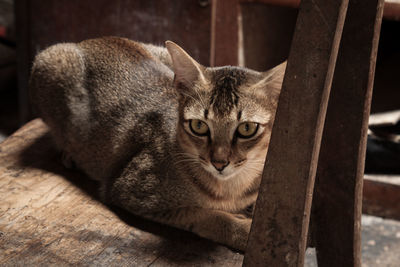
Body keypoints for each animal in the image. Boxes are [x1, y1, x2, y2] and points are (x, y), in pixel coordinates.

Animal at [29, 36, 286, 252]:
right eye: (199, 126)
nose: (219, 162)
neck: (230, 189)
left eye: (246, 128)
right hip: (52, 61)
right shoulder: (130, 192)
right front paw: (246, 233)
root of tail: (87, 41)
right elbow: (209, 215)